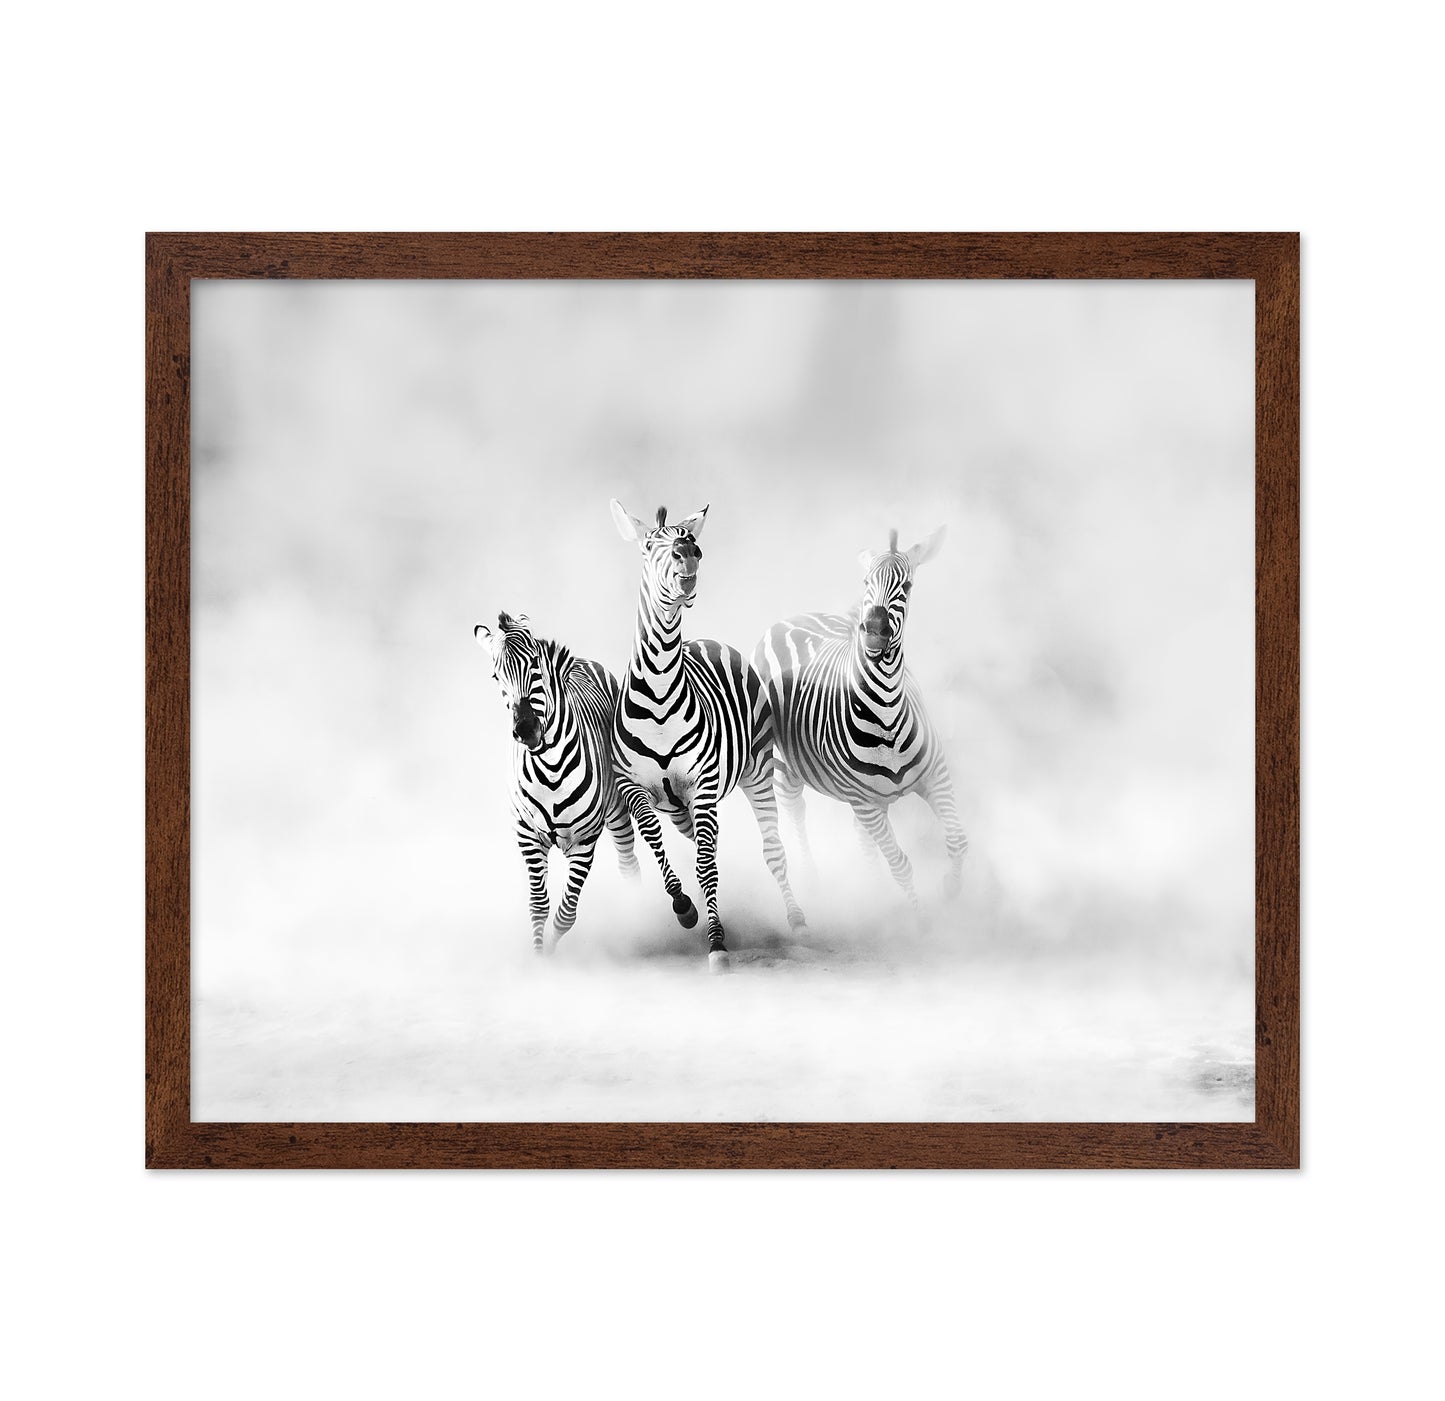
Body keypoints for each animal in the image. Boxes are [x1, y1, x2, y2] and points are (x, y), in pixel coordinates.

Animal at [474, 611, 641, 953]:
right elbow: (539, 905)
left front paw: (551, 948)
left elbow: (566, 913)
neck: (550, 769)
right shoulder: (528, 836)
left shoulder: (584, 840)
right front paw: (541, 956)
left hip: (617, 811)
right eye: (497, 678)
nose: (526, 729)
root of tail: (581, 661)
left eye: (535, 664)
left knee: (629, 865)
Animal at [610, 500, 807, 972]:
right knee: (698, 841)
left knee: (771, 848)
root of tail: (709, 641)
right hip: (680, 806)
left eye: (689, 539)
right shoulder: (633, 787)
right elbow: (657, 841)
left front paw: (717, 942)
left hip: (756, 770)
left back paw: (796, 921)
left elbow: (705, 865)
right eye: (649, 546)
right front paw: (684, 908)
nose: (689, 554)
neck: (660, 691)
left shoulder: (701, 784)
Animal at [753, 527, 967, 909]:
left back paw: (873, 889)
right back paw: (814, 882)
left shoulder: (935, 775)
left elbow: (957, 839)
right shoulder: (865, 802)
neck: (886, 712)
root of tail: (791, 619)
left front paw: (951, 889)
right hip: (784, 763)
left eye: (907, 585)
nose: (874, 631)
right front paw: (919, 917)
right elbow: (900, 864)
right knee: (795, 809)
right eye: (866, 581)